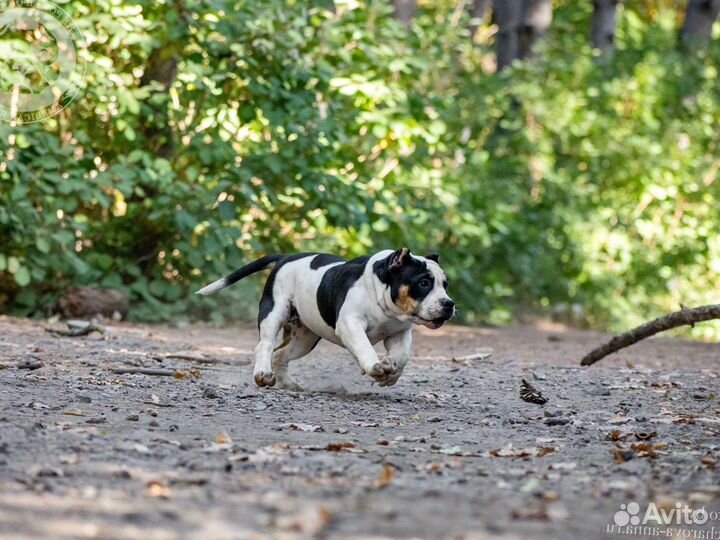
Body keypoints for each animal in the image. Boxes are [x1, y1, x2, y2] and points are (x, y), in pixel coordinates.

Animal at [195, 249, 456, 388]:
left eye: (445, 285)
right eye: (424, 283)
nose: (449, 304)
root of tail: (286, 257)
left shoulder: (400, 333)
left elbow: (402, 356)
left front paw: (390, 372)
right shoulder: (350, 324)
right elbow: (364, 346)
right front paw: (375, 366)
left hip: (304, 338)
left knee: (281, 354)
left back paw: (288, 383)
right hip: (274, 312)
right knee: (265, 345)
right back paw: (262, 374)